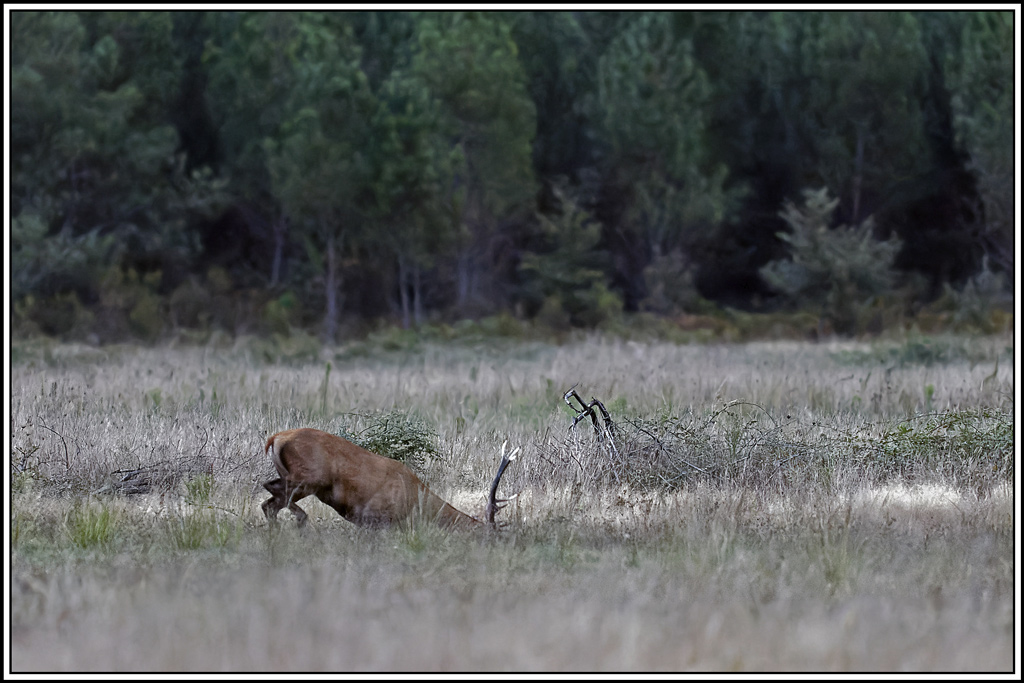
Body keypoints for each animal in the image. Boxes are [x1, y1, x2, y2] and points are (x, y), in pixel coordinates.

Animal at [261, 428, 518, 529]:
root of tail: (276, 437)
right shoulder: (377, 519)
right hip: (308, 478)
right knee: (271, 496)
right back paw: (301, 521)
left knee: (269, 500)